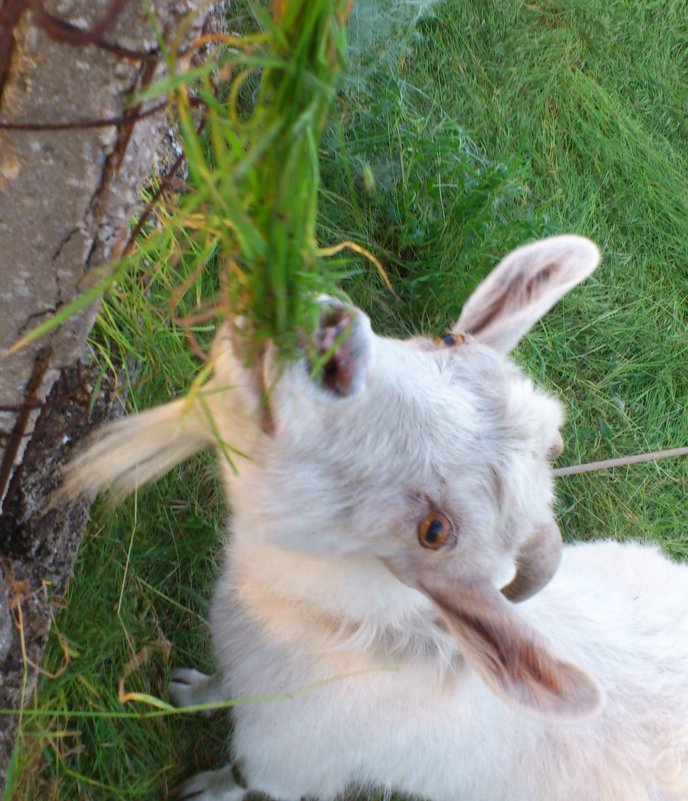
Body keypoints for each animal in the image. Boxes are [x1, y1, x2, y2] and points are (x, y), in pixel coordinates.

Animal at [68, 236, 688, 800]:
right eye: (447, 337)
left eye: (435, 531)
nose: (330, 345)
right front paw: (191, 690)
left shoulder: (289, 761)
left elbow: (242, 777)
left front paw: (205, 788)